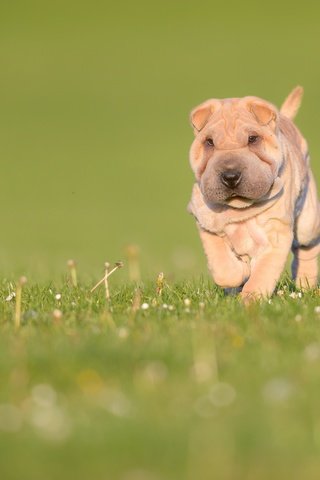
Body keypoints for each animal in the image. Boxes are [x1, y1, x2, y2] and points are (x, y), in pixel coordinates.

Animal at [188, 87, 320, 300]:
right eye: (209, 142)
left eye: (253, 139)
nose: (230, 175)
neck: (240, 207)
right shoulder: (207, 224)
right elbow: (223, 267)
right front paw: (240, 273)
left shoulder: (276, 234)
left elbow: (263, 273)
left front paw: (251, 299)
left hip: (308, 222)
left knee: (308, 247)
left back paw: (305, 284)